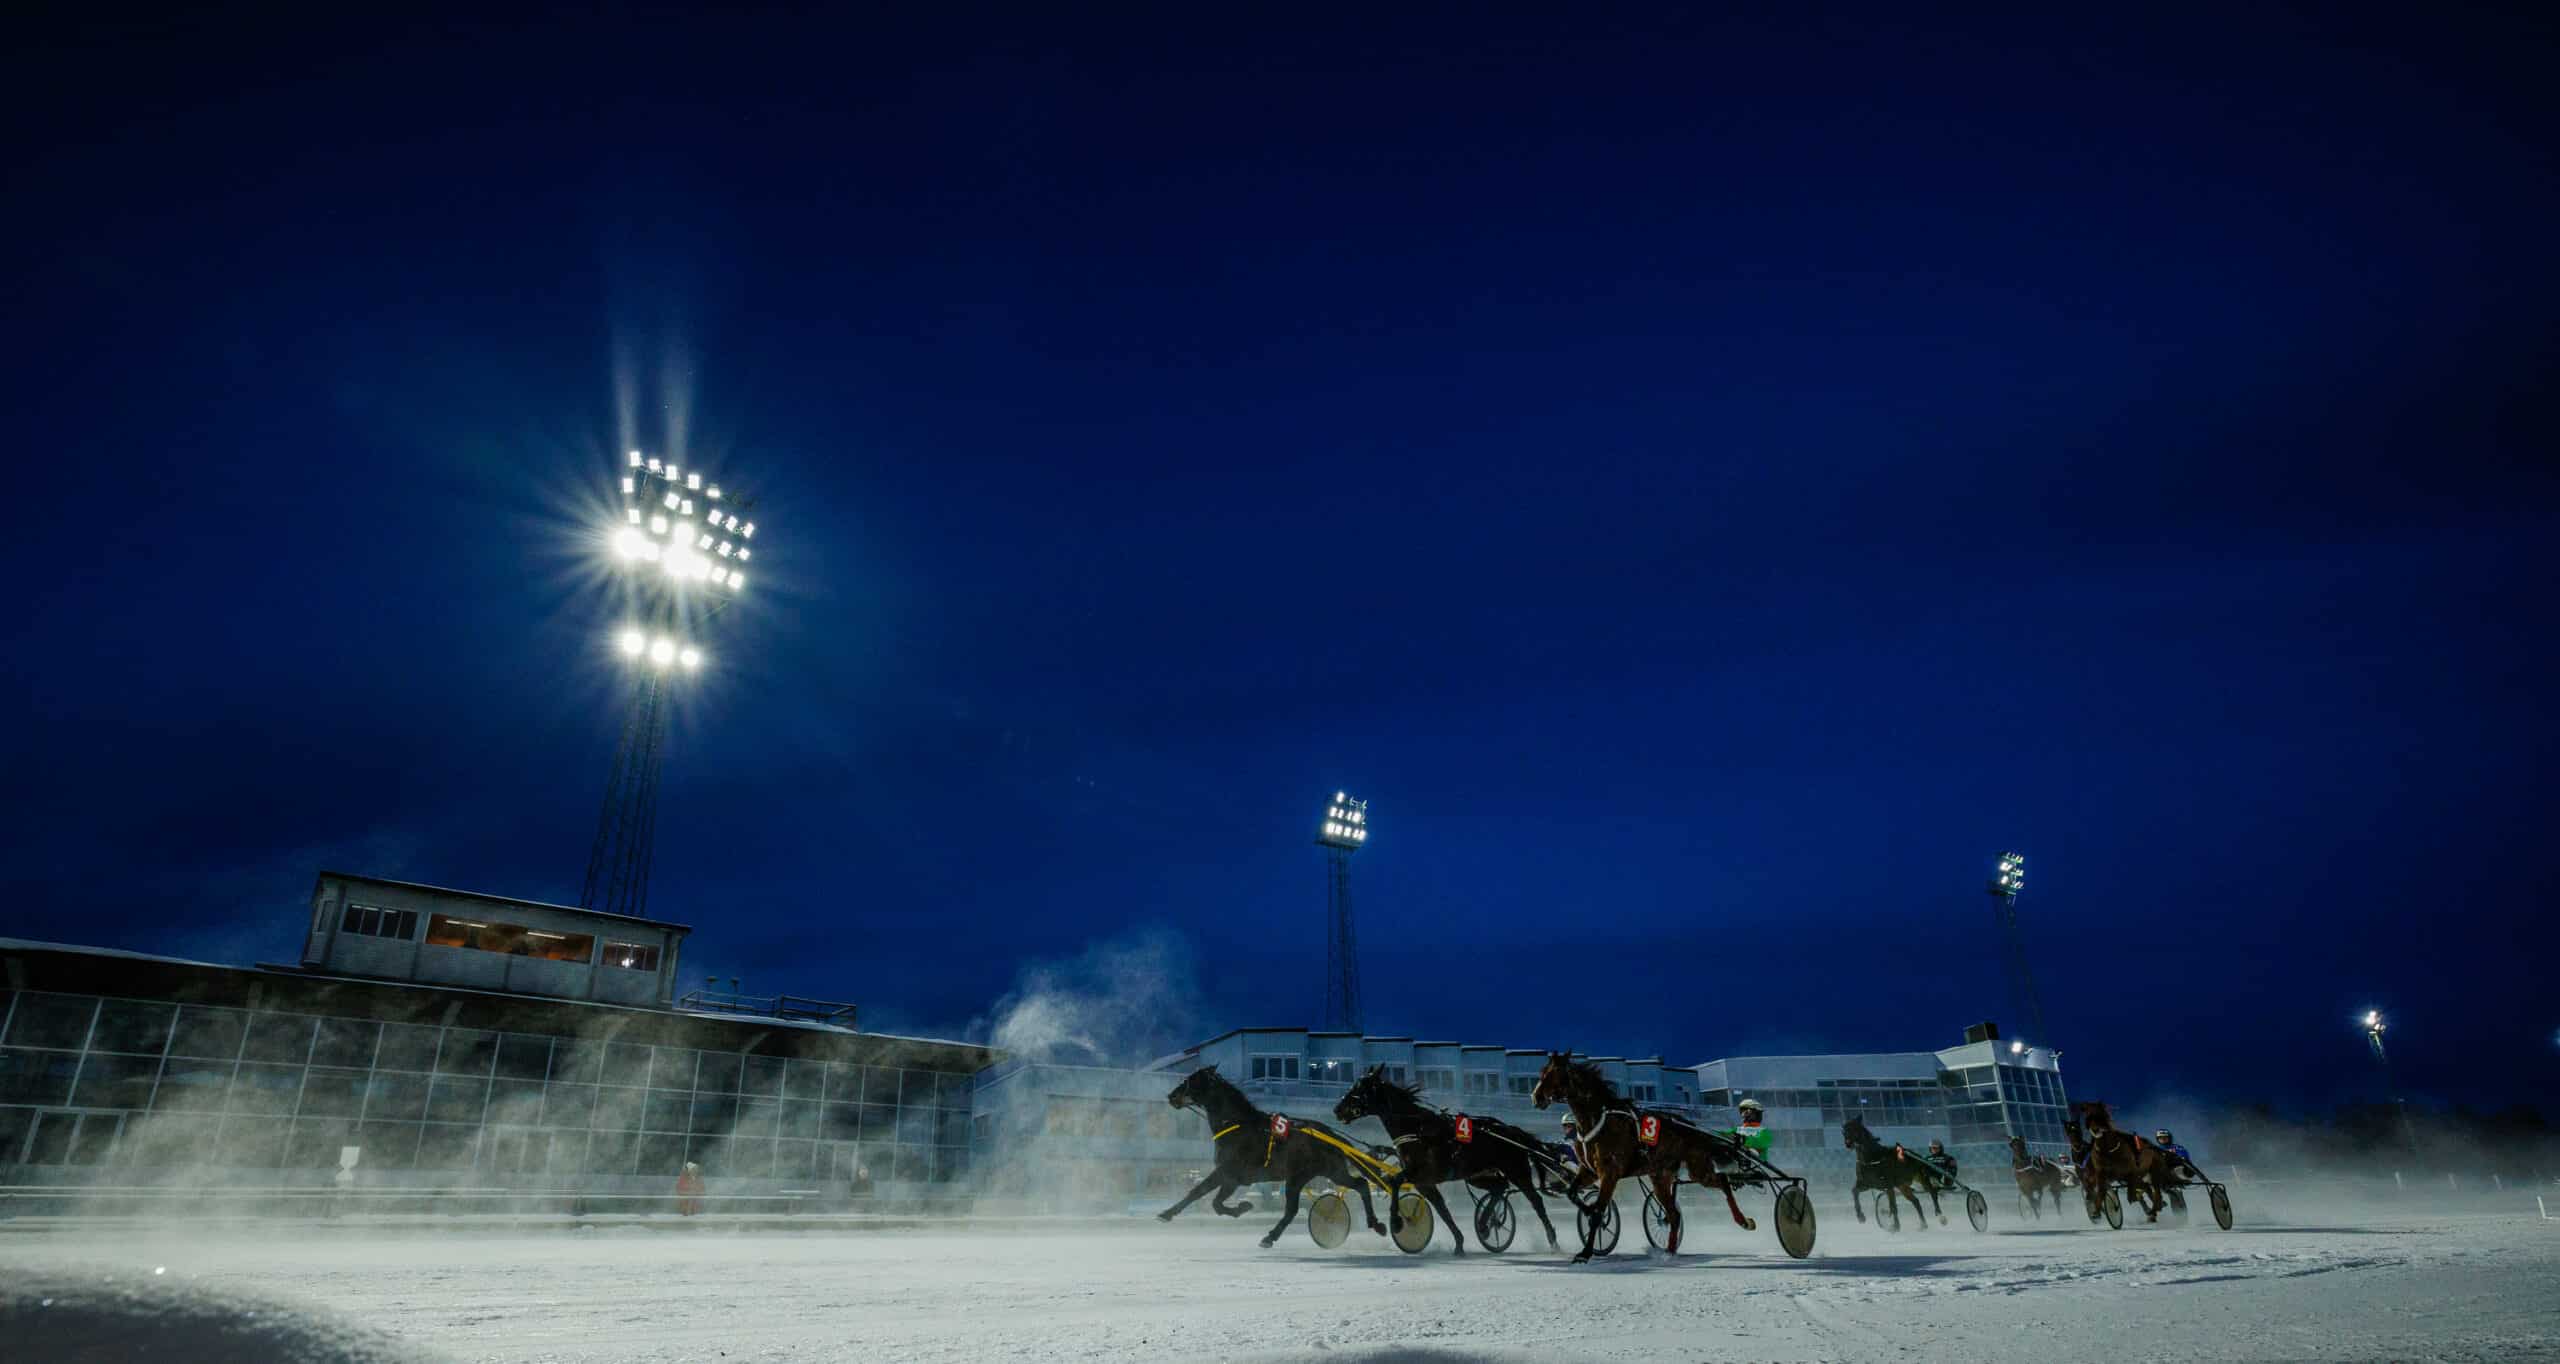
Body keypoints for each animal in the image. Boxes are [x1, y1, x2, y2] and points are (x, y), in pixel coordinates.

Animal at [1167, 1064, 1402, 1243]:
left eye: (1191, 1080)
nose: (1171, 1096)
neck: (1237, 1124)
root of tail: (1332, 1134)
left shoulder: (1231, 1174)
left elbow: (1209, 1199)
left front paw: (1242, 1206)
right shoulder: (1230, 1176)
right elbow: (1201, 1195)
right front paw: (1168, 1213)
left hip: (1303, 1176)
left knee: (1295, 1208)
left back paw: (1270, 1237)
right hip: (1326, 1172)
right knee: (1359, 1185)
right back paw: (1375, 1224)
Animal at [1331, 1064, 1566, 1253]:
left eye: (1359, 1088)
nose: (1337, 1110)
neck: (1417, 1129)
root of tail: (1513, 1131)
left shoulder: (1420, 1172)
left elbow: (1394, 1181)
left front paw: (1396, 1222)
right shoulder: (1425, 1182)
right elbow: (1442, 1210)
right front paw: (1459, 1242)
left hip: (1517, 1172)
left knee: (1535, 1201)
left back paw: (1553, 1241)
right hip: (1478, 1175)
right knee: (1499, 1188)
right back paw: (1484, 1224)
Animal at [1525, 1049, 1751, 1259]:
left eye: (1553, 1073)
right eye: (1542, 1073)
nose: (1535, 1097)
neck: (1599, 1121)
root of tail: (1691, 1127)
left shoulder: (1610, 1173)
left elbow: (1598, 1212)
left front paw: (1586, 1252)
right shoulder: (1589, 1171)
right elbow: (1572, 1194)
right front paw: (1588, 1211)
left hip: (1698, 1168)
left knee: (1723, 1181)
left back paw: (1744, 1221)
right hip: (1660, 1177)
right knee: (1674, 1214)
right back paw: (1669, 1252)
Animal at [2068, 1095, 2170, 1223]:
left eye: (2100, 1115)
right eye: (2088, 1115)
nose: (2095, 1130)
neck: (2107, 1149)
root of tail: (2152, 1146)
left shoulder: (2131, 1172)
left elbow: (2131, 1191)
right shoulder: (2100, 1174)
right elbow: (2100, 1192)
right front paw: (2097, 1212)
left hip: (2153, 1172)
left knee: (2155, 1191)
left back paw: (2154, 1210)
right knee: (2147, 1188)